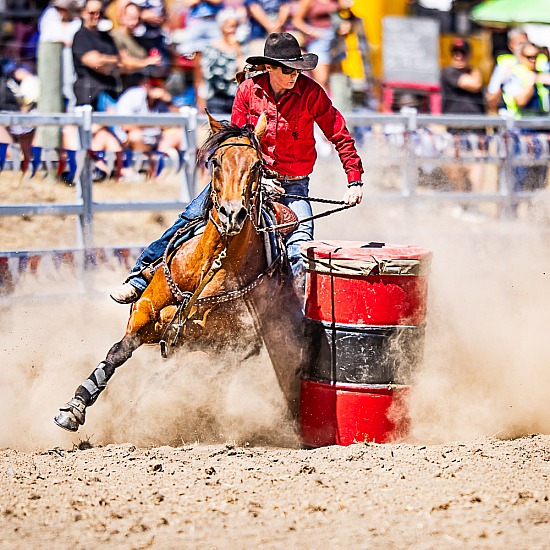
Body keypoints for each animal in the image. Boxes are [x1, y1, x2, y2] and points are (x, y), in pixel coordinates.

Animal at [55, 112, 310, 434]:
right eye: (216, 162)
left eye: (257, 165)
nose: (232, 214)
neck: (208, 266)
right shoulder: (145, 313)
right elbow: (117, 352)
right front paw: (73, 408)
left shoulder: (214, 346)